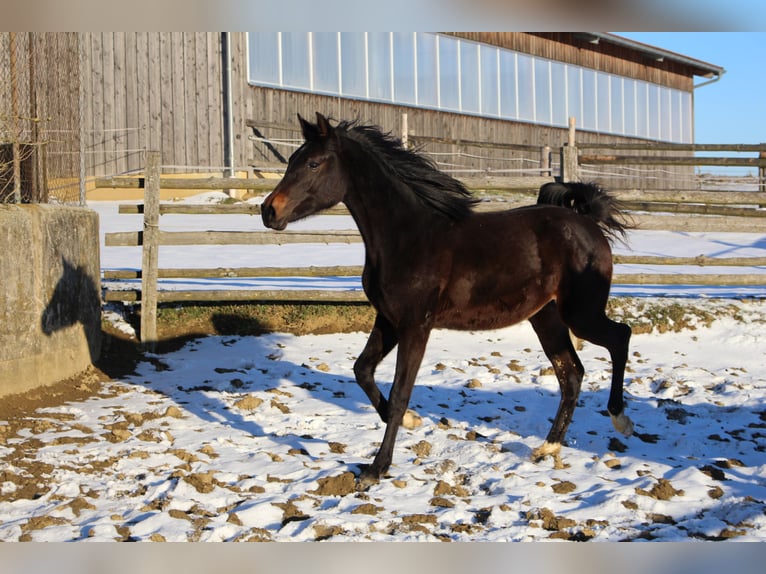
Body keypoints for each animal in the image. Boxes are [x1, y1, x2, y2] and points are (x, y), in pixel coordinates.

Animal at [262, 112, 634, 486]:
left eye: (313, 163)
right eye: (292, 160)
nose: (268, 211)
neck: (408, 237)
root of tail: (587, 221)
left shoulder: (416, 325)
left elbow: (400, 393)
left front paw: (377, 468)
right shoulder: (389, 319)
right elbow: (362, 370)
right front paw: (412, 421)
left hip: (580, 313)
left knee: (620, 337)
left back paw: (620, 419)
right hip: (546, 317)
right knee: (570, 373)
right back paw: (548, 448)